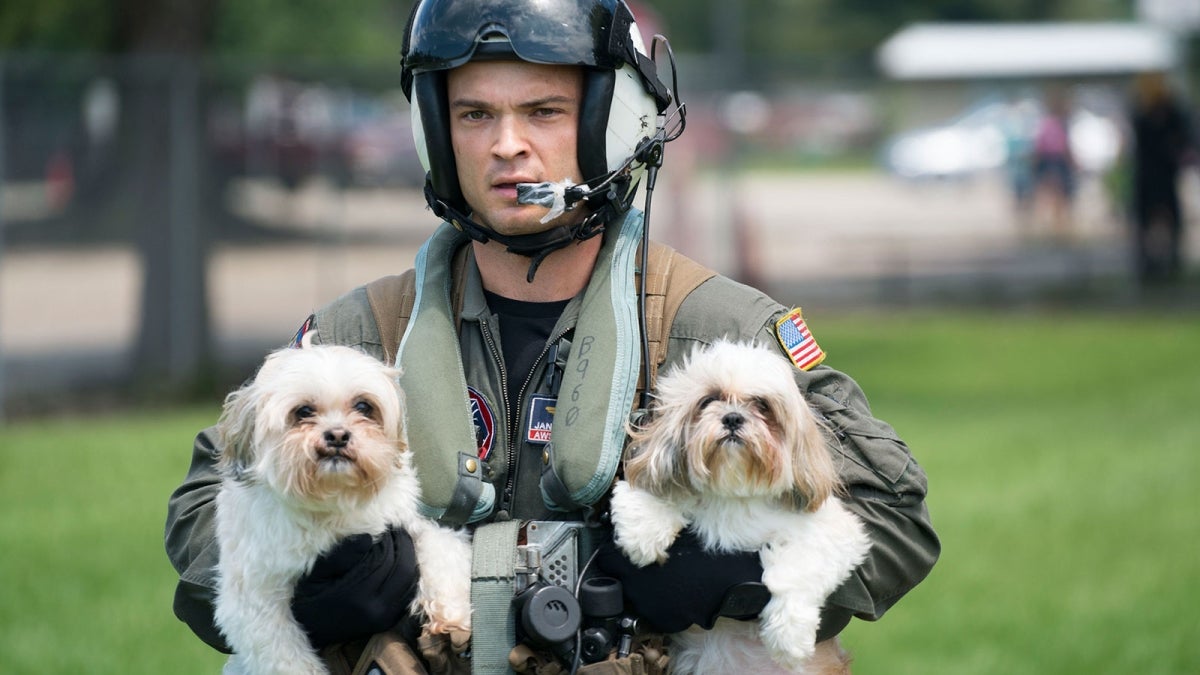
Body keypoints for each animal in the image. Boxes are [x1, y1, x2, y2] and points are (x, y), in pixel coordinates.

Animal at [213, 341, 470, 672]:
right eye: (303, 411)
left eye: (363, 407)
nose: (337, 435)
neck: (334, 498)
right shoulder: (255, 596)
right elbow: (284, 654)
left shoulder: (406, 521)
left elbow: (441, 549)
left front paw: (451, 615)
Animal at [614, 341, 868, 672]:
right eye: (709, 400)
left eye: (762, 405)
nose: (733, 418)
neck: (733, 489)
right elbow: (648, 492)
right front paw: (644, 535)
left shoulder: (835, 531)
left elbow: (799, 568)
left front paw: (789, 635)